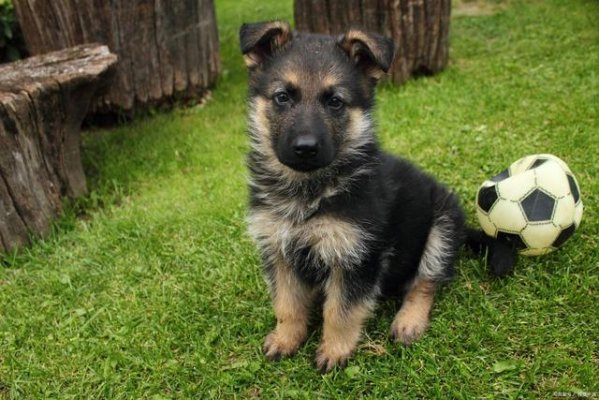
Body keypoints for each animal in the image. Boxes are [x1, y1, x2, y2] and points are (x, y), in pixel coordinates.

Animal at [240, 21, 468, 372]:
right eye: (282, 97)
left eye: (335, 101)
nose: (305, 148)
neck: (308, 190)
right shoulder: (278, 250)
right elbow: (287, 303)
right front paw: (286, 338)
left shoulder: (356, 257)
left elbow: (340, 311)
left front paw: (335, 350)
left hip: (442, 228)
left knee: (425, 281)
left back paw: (409, 321)